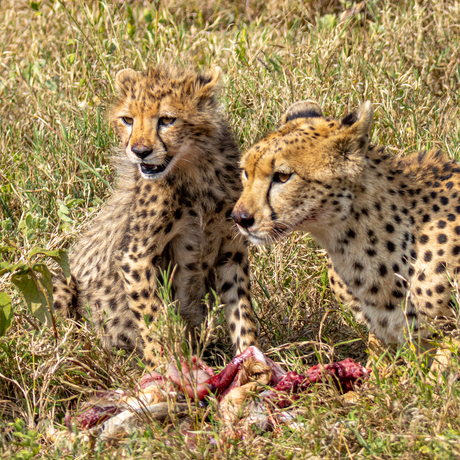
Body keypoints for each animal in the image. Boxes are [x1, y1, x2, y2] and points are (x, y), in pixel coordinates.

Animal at [54, 65, 258, 366]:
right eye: (127, 119)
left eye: (167, 119)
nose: (140, 151)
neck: (195, 171)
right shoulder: (135, 257)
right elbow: (152, 314)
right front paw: (165, 366)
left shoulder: (231, 252)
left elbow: (241, 310)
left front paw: (254, 362)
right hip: (63, 283)